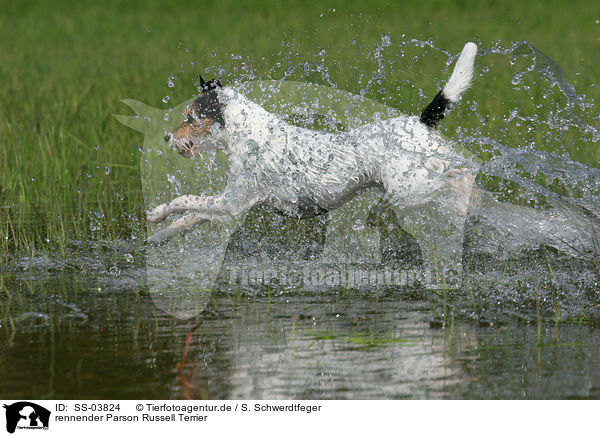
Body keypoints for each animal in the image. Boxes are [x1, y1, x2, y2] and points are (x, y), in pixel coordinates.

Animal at [148, 41, 480, 282]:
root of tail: (419, 121)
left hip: (411, 188)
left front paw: (157, 212)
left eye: (190, 119)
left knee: (462, 178)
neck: (250, 136)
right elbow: (189, 217)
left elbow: (184, 200)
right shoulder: (231, 203)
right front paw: (158, 234)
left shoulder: (232, 201)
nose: (166, 137)